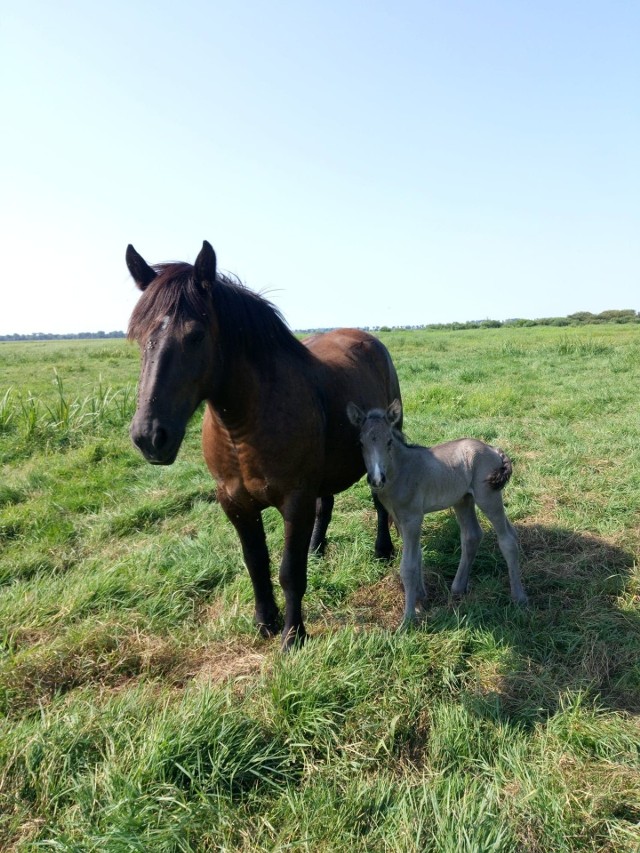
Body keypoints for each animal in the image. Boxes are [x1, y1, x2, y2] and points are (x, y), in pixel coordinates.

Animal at [127, 243, 402, 648]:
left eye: (196, 335)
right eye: (137, 335)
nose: (149, 436)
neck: (242, 426)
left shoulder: (294, 500)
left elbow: (290, 571)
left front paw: (293, 635)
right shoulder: (234, 503)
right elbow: (256, 562)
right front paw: (264, 621)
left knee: (380, 500)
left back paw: (382, 551)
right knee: (326, 504)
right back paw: (317, 549)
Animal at [348, 396, 528, 624]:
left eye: (389, 442)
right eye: (360, 443)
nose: (377, 479)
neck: (401, 471)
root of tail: (493, 448)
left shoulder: (413, 518)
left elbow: (408, 566)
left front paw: (408, 620)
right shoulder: (399, 518)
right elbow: (417, 557)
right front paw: (420, 601)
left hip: (488, 496)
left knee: (507, 539)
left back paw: (519, 597)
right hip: (463, 499)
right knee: (473, 535)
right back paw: (458, 588)